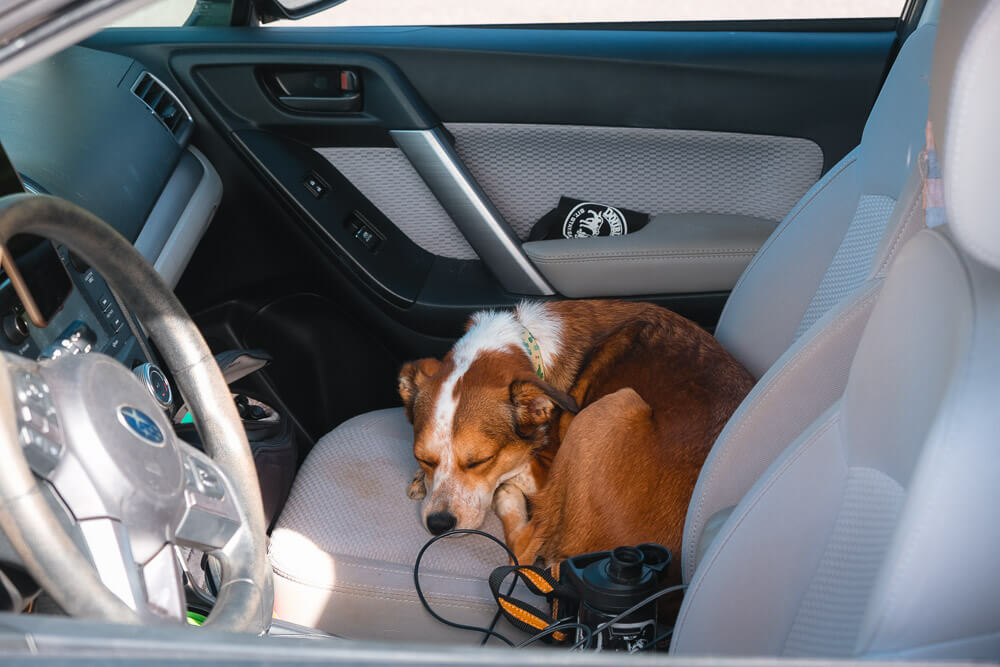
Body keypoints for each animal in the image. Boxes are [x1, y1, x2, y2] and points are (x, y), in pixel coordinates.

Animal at [398, 300, 752, 568]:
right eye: (423, 458)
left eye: (481, 461)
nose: (438, 525)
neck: (530, 346)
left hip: (613, 406)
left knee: (524, 549)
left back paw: (509, 499)